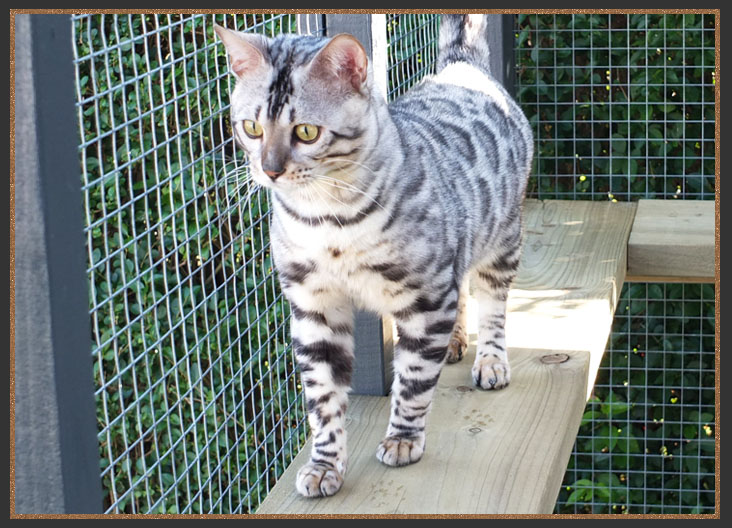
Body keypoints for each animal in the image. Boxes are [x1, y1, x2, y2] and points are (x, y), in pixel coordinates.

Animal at [214, 14, 536, 498]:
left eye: (306, 131)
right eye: (251, 128)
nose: (269, 170)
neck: (327, 221)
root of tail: (460, 66)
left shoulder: (426, 299)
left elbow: (414, 380)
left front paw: (403, 440)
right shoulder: (313, 308)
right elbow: (323, 400)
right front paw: (324, 465)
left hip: (502, 241)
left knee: (494, 305)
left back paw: (491, 361)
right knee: (463, 291)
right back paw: (457, 341)